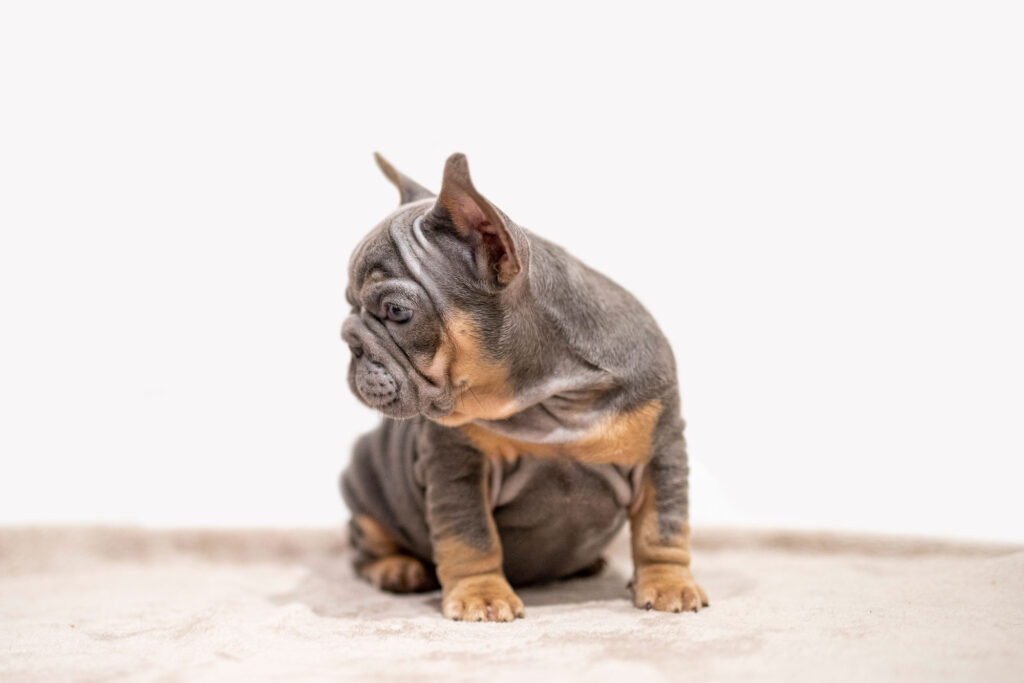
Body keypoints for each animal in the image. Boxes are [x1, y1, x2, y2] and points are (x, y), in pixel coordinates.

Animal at [339, 152, 708, 622]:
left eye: (397, 312)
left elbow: (662, 527)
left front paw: (668, 584)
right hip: (363, 482)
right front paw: (481, 595)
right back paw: (397, 568)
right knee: (365, 541)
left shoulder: (661, 451)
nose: (349, 340)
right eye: (349, 302)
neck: (549, 395)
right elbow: (470, 537)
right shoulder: (457, 466)